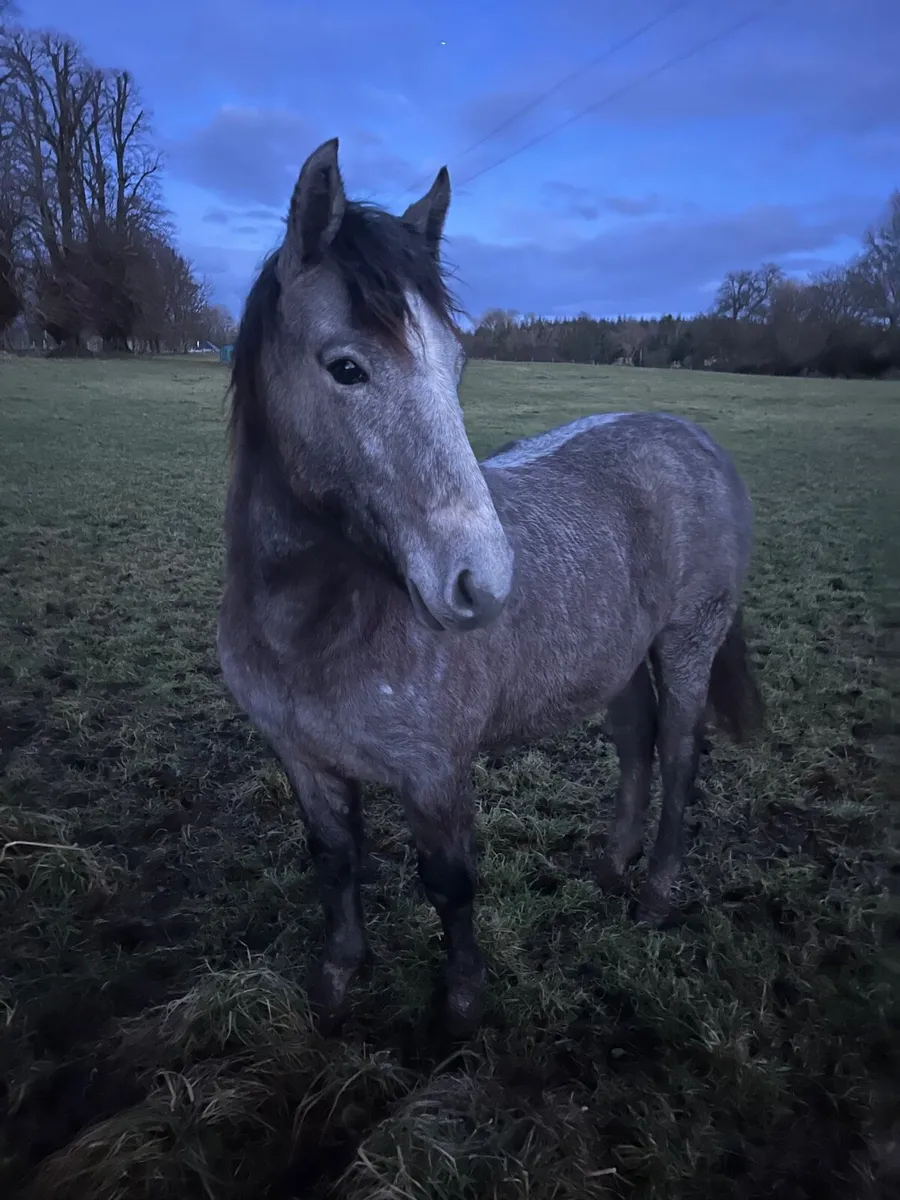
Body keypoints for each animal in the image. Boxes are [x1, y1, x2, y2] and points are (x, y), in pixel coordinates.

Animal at [217, 137, 764, 1037]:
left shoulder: (437, 774)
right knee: (637, 743)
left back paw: (655, 894)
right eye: (346, 367)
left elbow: (450, 887)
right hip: (613, 658)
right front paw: (337, 979)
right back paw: (610, 865)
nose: (484, 581)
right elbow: (334, 864)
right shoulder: (303, 760)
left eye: (458, 365)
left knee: (682, 753)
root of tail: (694, 437)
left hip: (688, 643)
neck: (311, 627)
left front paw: (462, 1007)